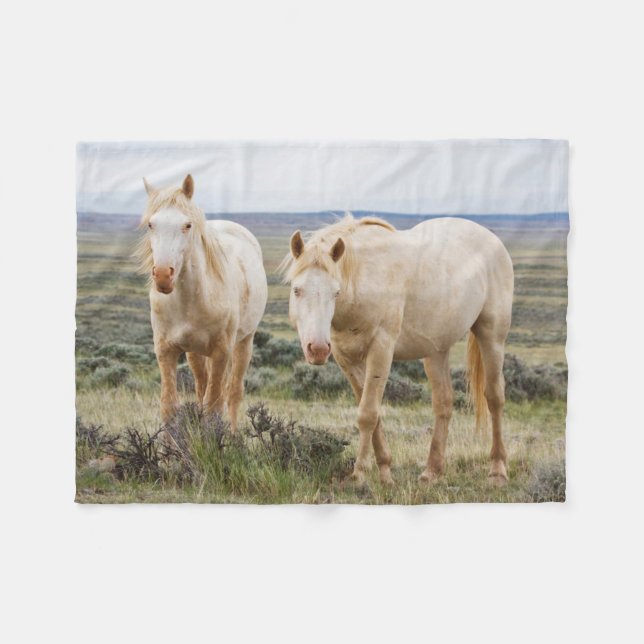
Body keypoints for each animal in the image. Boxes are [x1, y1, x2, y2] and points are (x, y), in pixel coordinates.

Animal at [137, 175, 267, 431]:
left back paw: (234, 433)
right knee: (201, 387)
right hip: (195, 353)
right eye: (151, 225)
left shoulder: (221, 352)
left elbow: (214, 406)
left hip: (244, 342)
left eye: (187, 225)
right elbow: (169, 406)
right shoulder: (165, 350)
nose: (163, 276)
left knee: (233, 392)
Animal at [281, 214, 514, 485]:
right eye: (296, 290)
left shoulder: (381, 349)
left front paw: (359, 475)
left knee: (494, 398)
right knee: (444, 402)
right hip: (436, 351)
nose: (317, 349)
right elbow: (373, 413)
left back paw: (497, 470)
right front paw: (384, 472)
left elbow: (368, 413)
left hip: (492, 336)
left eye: (335, 292)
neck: (364, 280)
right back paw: (432, 471)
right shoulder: (346, 358)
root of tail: (492, 239)